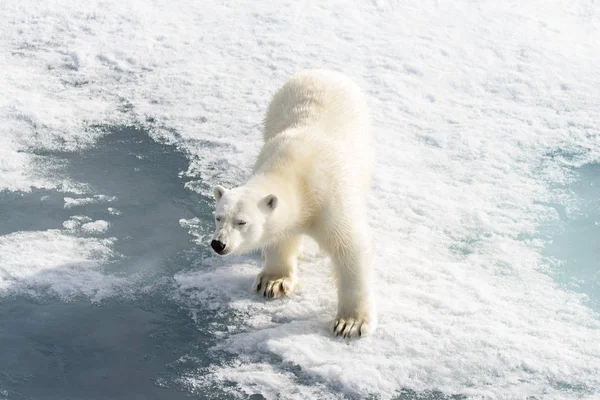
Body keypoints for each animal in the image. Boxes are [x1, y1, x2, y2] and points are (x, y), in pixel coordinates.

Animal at [211, 69, 376, 338]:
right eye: (218, 217)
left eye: (242, 222)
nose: (218, 244)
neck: (296, 170)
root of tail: (322, 72)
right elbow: (281, 236)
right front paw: (273, 282)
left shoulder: (331, 197)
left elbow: (349, 248)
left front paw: (350, 323)